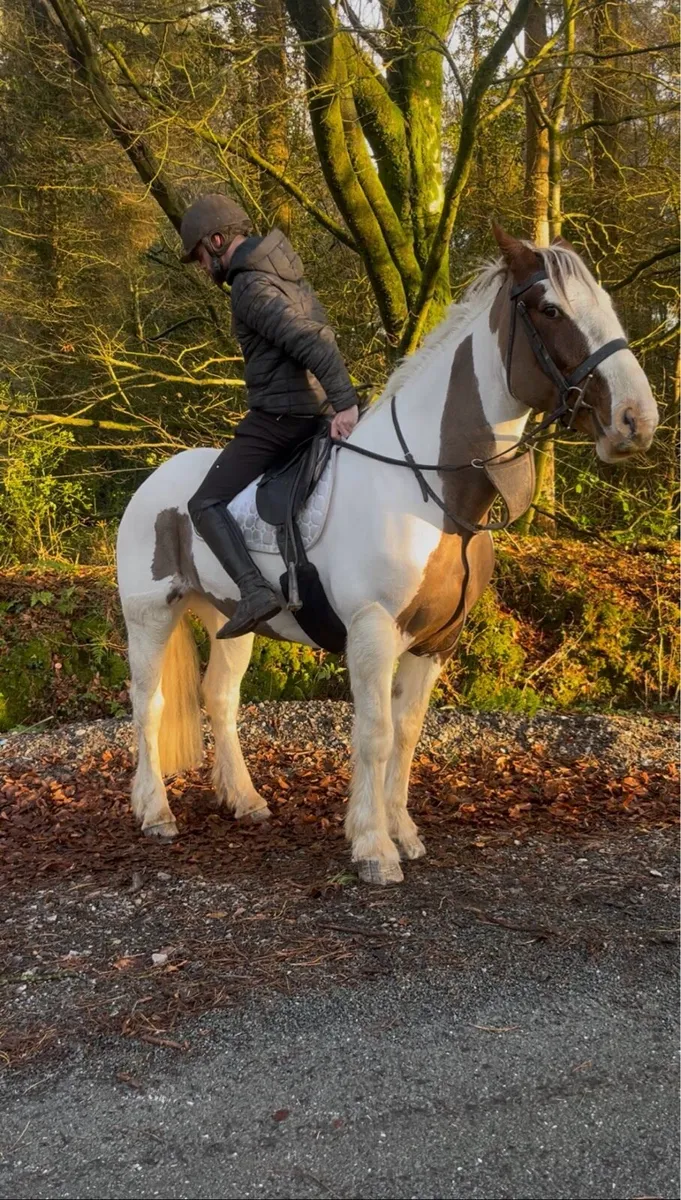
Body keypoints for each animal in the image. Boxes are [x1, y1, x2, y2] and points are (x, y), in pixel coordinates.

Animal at [116, 227, 658, 885]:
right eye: (550, 309)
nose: (637, 420)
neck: (425, 486)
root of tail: (155, 482)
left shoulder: (436, 642)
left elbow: (407, 733)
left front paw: (404, 833)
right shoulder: (372, 632)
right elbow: (373, 736)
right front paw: (373, 847)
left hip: (231, 620)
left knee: (219, 698)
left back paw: (245, 800)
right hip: (149, 615)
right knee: (148, 705)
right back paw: (155, 813)